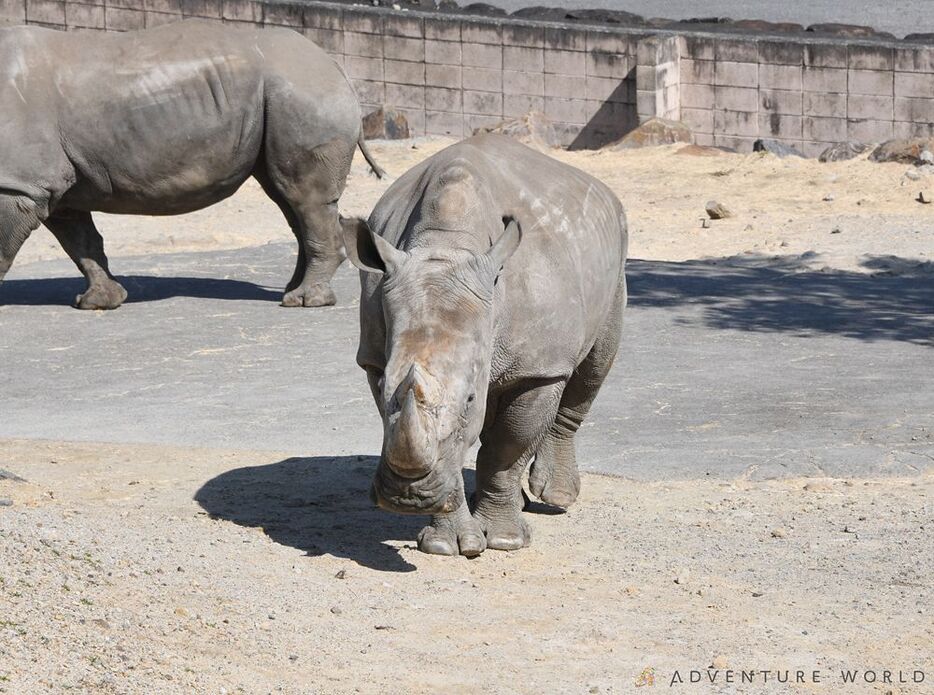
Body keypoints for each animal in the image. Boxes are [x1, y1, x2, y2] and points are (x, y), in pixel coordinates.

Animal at [0, 20, 384, 308]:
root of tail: (335, 64)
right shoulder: (46, 182)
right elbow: (80, 240)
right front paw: (100, 302)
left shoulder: (22, 184)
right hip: (290, 96)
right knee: (288, 199)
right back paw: (293, 291)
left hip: (305, 94)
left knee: (303, 198)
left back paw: (304, 301)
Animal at [344, 135, 628, 560]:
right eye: (383, 388)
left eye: (469, 400)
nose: (408, 497)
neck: (446, 247)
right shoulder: (377, 358)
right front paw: (446, 543)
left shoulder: (538, 369)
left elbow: (507, 446)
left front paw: (505, 540)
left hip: (615, 261)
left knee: (593, 367)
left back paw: (557, 497)